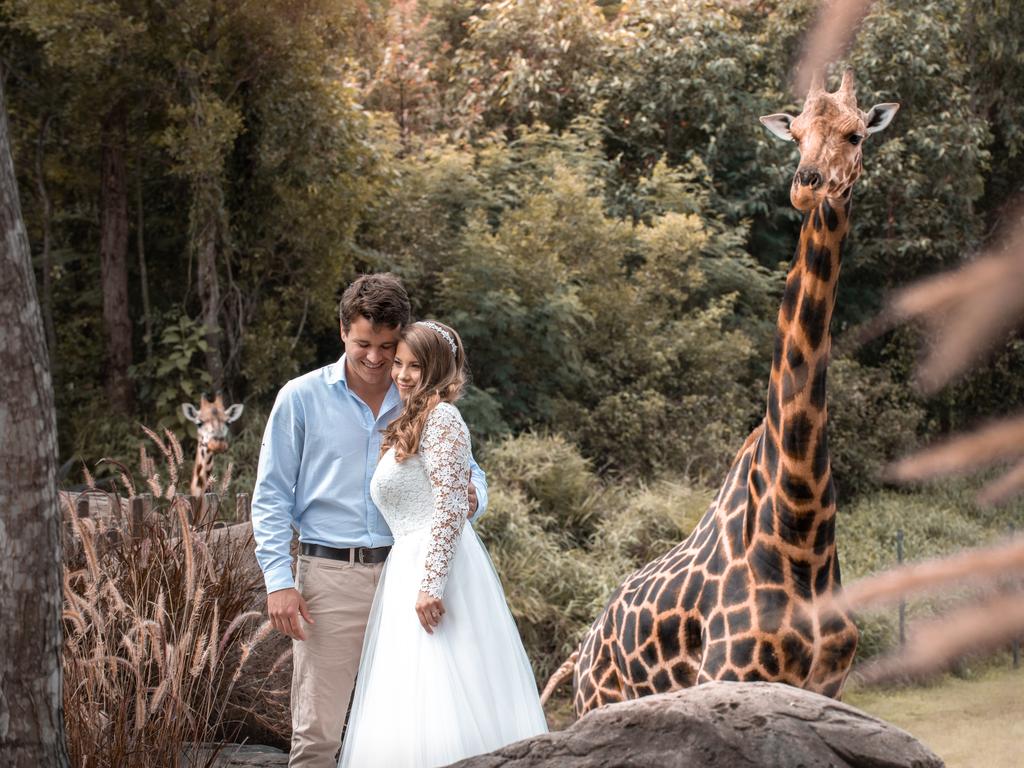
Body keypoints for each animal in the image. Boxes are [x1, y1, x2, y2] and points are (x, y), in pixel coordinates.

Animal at [544, 69, 897, 720]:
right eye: (796, 135)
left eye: (857, 134)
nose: (807, 186)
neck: (800, 526)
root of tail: (582, 649)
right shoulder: (734, 677)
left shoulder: (825, 686)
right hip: (600, 704)